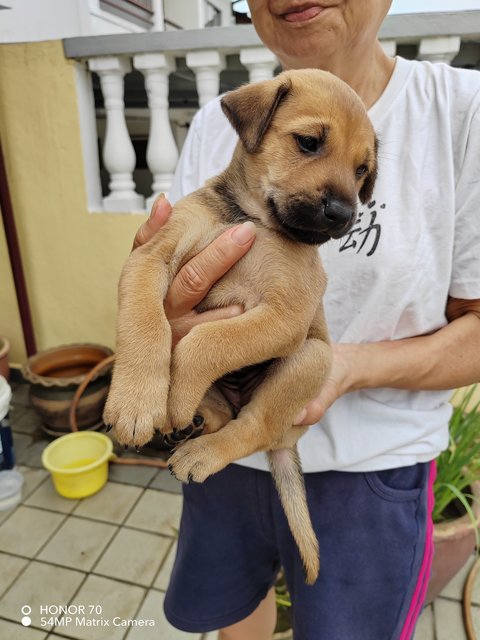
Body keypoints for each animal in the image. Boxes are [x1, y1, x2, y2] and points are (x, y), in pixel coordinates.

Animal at [103, 70, 376, 584]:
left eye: (362, 171)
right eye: (309, 142)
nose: (343, 216)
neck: (253, 219)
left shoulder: (286, 316)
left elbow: (208, 340)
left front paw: (175, 391)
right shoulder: (150, 258)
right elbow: (147, 324)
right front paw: (136, 402)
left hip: (310, 358)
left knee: (251, 427)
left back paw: (199, 449)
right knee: (226, 414)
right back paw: (192, 419)